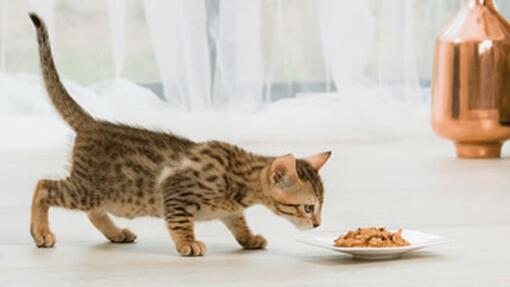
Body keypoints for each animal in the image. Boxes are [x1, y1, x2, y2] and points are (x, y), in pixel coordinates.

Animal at [28, 13, 330, 258]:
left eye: (319, 207)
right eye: (308, 208)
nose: (318, 223)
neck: (240, 180)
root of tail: (92, 124)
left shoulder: (231, 209)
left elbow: (238, 220)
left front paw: (249, 238)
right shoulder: (175, 192)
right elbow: (180, 222)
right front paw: (188, 243)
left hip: (110, 196)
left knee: (93, 212)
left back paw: (116, 233)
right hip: (89, 189)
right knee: (44, 186)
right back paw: (41, 232)